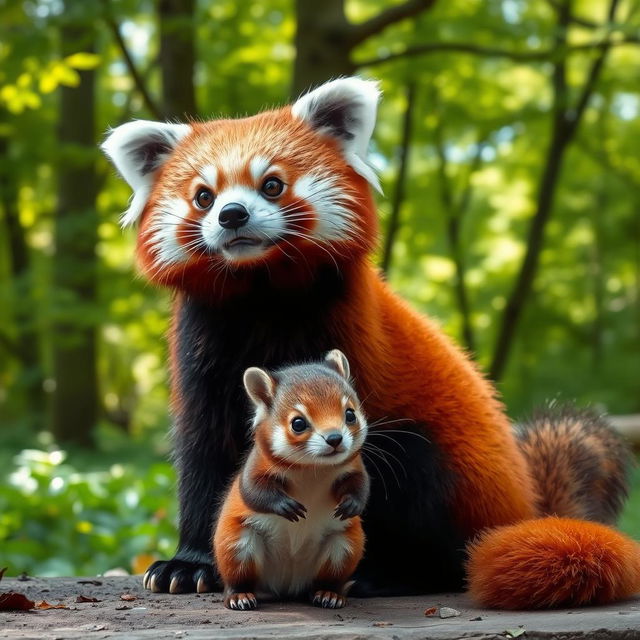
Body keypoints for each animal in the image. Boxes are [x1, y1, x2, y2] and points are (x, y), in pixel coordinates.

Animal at [212, 350, 368, 608]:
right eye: (298, 423)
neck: (312, 469)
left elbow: (362, 486)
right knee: (237, 579)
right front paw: (285, 505)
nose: (335, 438)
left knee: (326, 580)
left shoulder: (355, 468)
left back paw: (329, 594)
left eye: (350, 414)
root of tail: (287, 584)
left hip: (343, 548)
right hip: (237, 546)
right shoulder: (255, 467)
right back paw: (239, 595)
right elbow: (253, 491)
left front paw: (352, 504)